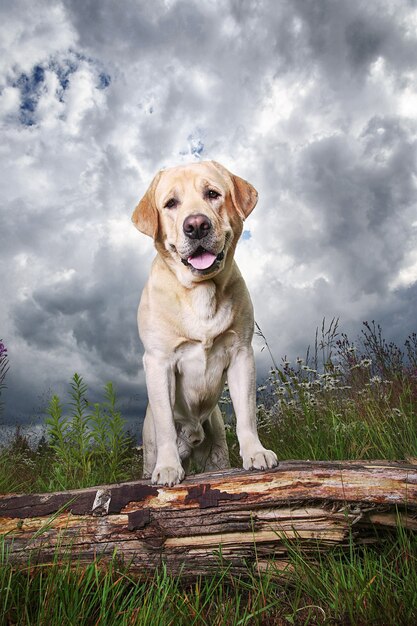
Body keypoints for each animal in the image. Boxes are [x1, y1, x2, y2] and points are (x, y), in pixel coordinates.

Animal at [132, 158, 278, 486]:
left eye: (212, 194)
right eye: (170, 203)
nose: (196, 225)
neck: (200, 291)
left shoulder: (241, 354)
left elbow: (247, 413)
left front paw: (255, 452)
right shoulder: (158, 362)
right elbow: (165, 425)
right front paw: (169, 468)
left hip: (215, 437)